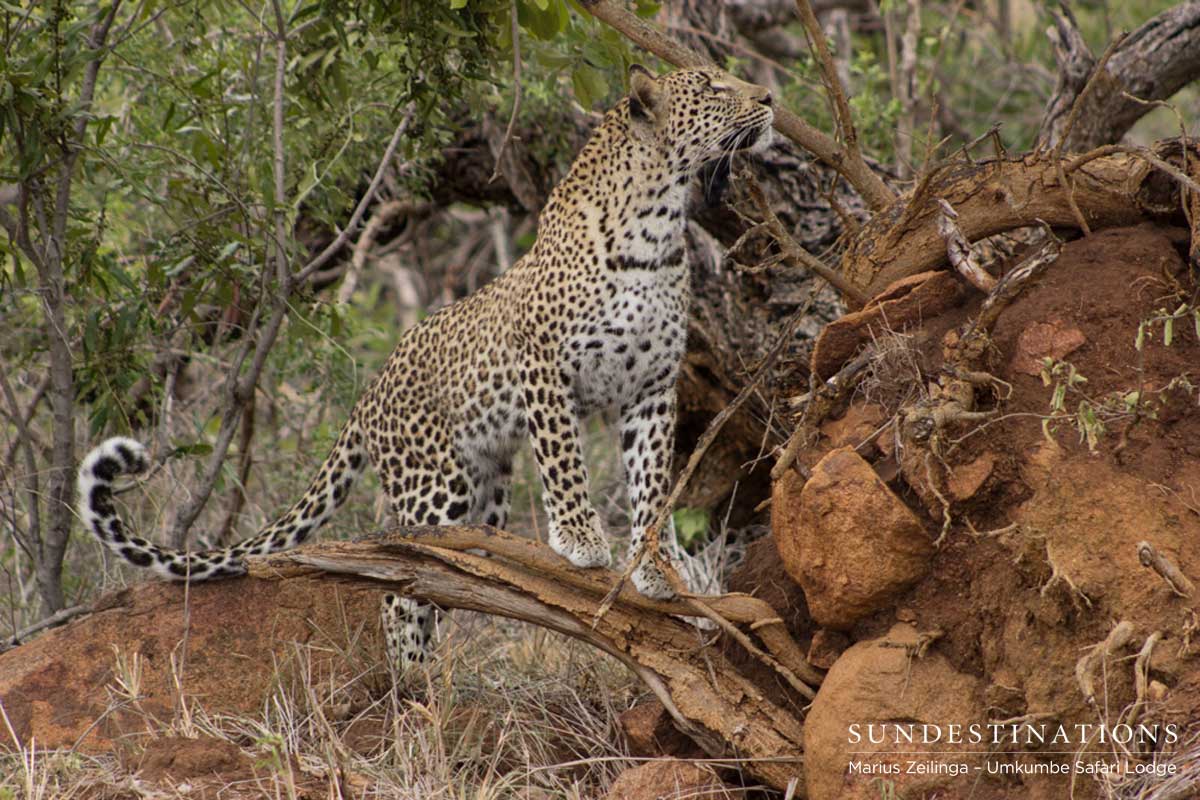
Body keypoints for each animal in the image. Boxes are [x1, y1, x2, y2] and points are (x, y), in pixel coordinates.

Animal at [76, 65, 775, 667]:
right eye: (714, 87)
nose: (769, 97)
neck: (658, 226)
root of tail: (367, 393)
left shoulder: (652, 387)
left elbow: (654, 486)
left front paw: (657, 570)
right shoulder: (544, 366)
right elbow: (566, 462)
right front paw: (581, 540)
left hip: (486, 499)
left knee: (442, 585)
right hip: (435, 486)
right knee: (399, 589)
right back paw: (410, 686)